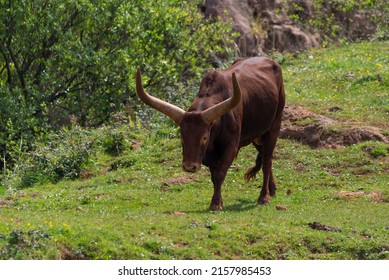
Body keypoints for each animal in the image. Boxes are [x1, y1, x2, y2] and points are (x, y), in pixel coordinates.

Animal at [136, 57, 284, 210]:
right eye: (181, 137)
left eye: (204, 137)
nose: (189, 166)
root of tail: (271, 62)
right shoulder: (211, 155)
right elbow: (214, 176)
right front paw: (218, 201)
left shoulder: (231, 147)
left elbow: (220, 174)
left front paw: (215, 204)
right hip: (257, 135)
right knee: (265, 156)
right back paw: (272, 189)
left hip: (274, 126)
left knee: (267, 161)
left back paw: (264, 197)